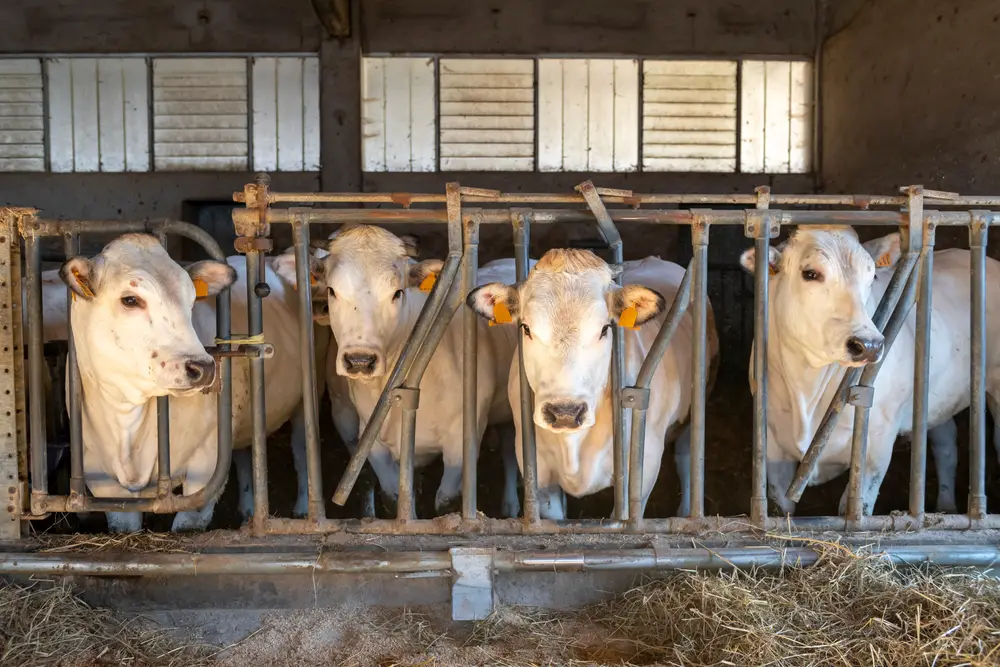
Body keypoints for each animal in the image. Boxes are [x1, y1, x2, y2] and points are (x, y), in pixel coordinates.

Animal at [60, 235, 310, 532]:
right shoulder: (98, 475)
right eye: (130, 299)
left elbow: (189, 523)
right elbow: (125, 525)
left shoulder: (208, 461)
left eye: (192, 300)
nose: (203, 367)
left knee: (302, 450)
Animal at [304, 227, 520, 520]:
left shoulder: (462, 441)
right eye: (332, 290)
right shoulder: (372, 443)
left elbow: (445, 502)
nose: (360, 360)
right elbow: (394, 496)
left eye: (397, 292)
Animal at [464, 250, 716, 520]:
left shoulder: (644, 466)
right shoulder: (537, 473)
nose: (565, 413)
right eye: (526, 328)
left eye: (605, 328)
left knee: (686, 456)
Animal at [736, 227, 1000, 516]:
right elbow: (780, 509)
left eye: (872, 276)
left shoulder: (877, 445)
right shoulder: (773, 446)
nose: (870, 344)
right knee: (946, 444)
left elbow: (855, 509)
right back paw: (946, 506)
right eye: (810, 273)